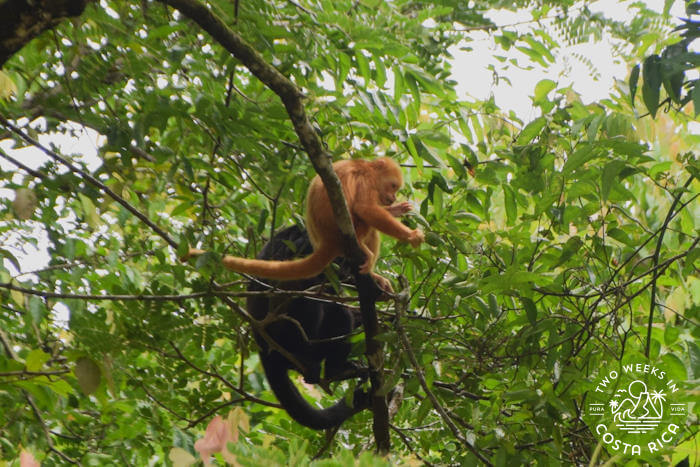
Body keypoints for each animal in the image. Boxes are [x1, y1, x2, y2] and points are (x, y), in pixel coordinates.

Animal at [186, 157, 424, 292]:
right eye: (392, 186)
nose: (392, 198)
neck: (367, 168)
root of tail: (327, 241)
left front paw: (398, 210)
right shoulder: (366, 179)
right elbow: (365, 209)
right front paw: (411, 235)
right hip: (349, 230)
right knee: (363, 219)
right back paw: (364, 253)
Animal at [247, 225, 370, 429]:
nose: (346, 271)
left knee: (337, 311)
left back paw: (336, 369)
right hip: (283, 334)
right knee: (306, 297)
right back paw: (304, 358)